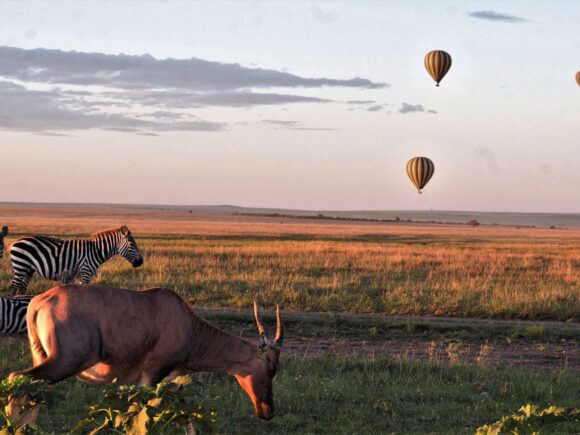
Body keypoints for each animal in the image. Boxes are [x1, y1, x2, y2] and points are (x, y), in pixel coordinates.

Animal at [7, 286, 282, 422]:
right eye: (271, 367)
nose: (267, 411)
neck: (183, 320)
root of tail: (40, 301)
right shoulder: (151, 376)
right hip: (63, 362)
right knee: (16, 380)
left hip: (43, 358)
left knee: (30, 394)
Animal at [8, 227, 143, 294]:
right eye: (131, 244)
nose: (141, 261)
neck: (96, 251)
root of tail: (16, 241)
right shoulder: (85, 271)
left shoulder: (80, 274)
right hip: (21, 266)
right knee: (14, 286)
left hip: (29, 269)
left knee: (22, 286)